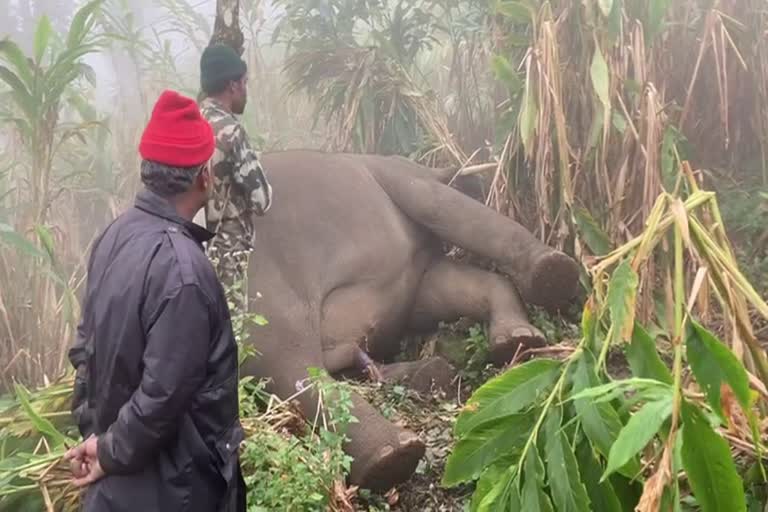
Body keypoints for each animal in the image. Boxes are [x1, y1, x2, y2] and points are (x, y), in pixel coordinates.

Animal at [237, 149, 580, 492]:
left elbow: (452, 281)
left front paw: (523, 331)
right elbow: (448, 211)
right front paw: (554, 275)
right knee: (292, 361)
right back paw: (393, 457)